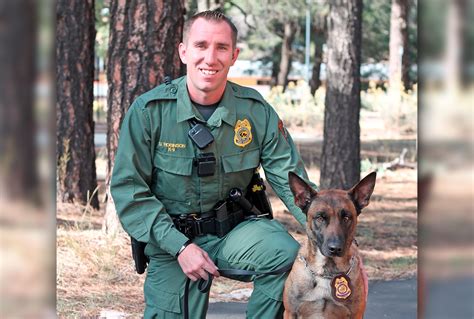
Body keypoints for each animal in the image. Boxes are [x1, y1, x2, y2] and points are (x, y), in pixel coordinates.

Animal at [282, 174, 378, 318]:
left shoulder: (356, 314)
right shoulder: (290, 312)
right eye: (320, 218)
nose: (335, 248)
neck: (326, 272)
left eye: (346, 218)